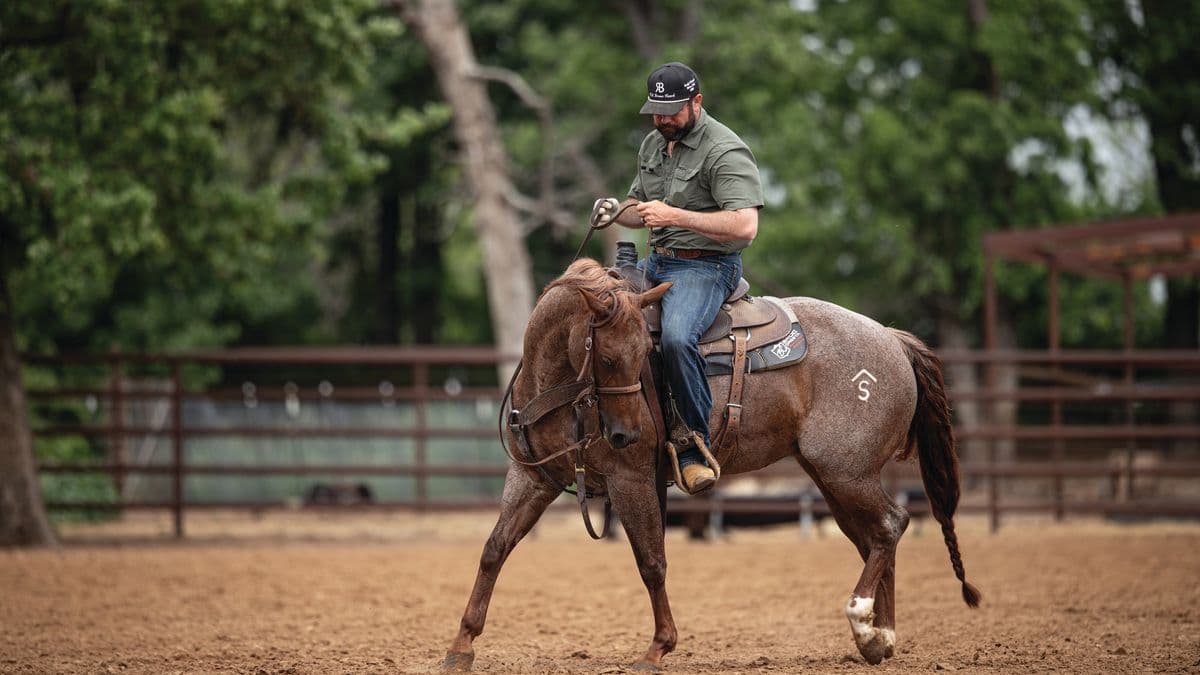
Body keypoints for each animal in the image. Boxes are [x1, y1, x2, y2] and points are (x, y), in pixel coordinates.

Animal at [440, 257, 980, 671]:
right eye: (609, 358)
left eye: (643, 353)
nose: (625, 434)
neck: (557, 384)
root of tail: (892, 339)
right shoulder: (533, 477)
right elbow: (494, 550)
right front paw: (461, 645)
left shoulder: (630, 478)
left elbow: (651, 561)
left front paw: (657, 649)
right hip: (834, 477)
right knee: (873, 538)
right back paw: (878, 638)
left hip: (847, 471)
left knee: (891, 524)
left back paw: (864, 622)